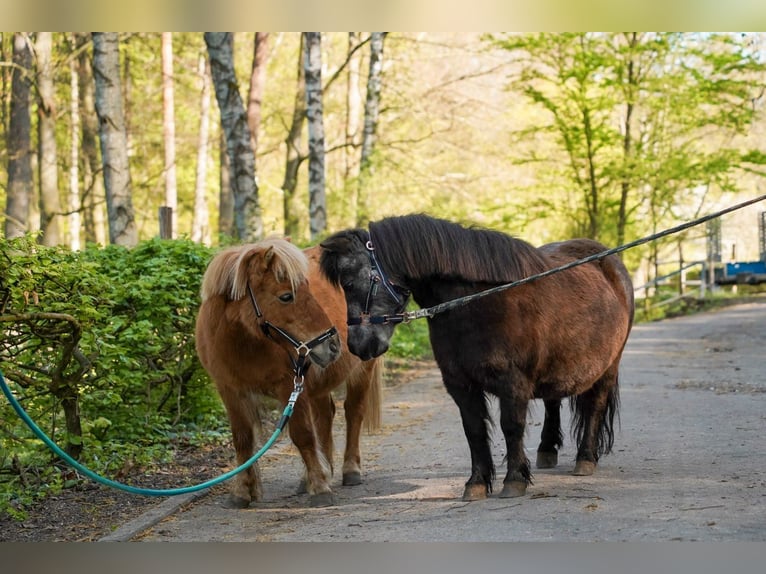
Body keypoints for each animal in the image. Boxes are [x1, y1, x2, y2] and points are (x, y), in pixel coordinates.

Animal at [195, 238, 380, 508]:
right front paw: (243, 491)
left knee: (354, 412)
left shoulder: (290, 386)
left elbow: (302, 435)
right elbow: (242, 439)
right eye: (286, 296)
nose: (333, 345)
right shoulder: (230, 390)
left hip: (363, 369)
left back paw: (350, 470)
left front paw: (320, 488)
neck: (243, 342)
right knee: (326, 416)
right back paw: (317, 473)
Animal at [320, 214, 640, 502]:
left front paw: (514, 481)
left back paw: (585, 458)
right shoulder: (460, 385)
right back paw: (547, 450)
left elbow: (512, 427)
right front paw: (476, 484)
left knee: (595, 406)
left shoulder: (513, 384)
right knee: (553, 401)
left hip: (609, 366)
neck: (479, 303)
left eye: (350, 284)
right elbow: (473, 430)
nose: (358, 345)